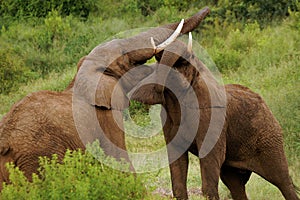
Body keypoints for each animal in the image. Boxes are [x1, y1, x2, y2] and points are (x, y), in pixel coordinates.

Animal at [0, 7, 211, 190]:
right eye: (125, 56)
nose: (207, 8)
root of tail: (5, 141)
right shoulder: (107, 119)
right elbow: (120, 161)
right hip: (38, 157)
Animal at [131, 36, 298, 200]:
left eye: (189, 59)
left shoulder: (212, 116)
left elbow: (209, 165)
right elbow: (177, 172)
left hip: (269, 138)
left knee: (282, 181)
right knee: (235, 184)